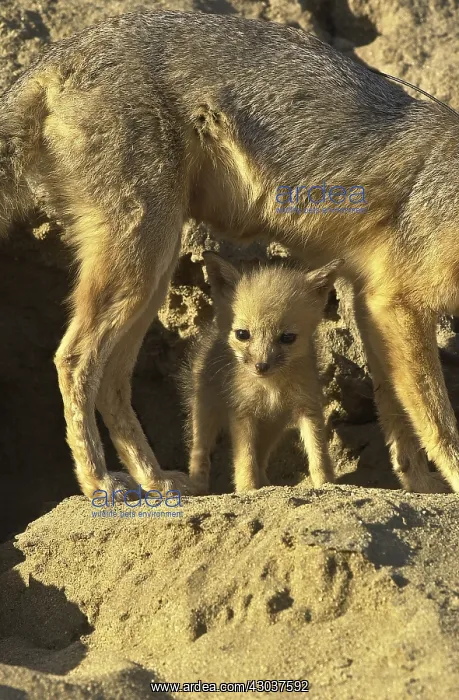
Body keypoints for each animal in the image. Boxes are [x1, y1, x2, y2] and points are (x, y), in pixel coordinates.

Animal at [181, 253, 341, 494]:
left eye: (287, 338)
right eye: (242, 334)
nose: (261, 366)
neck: (270, 387)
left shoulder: (307, 407)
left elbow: (318, 455)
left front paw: (326, 484)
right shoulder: (242, 412)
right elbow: (244, 459)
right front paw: (247, 488)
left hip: (272, 428)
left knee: (261, 456)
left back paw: (266, 484)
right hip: (205, 413)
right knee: (199, 451)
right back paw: (197, 485)